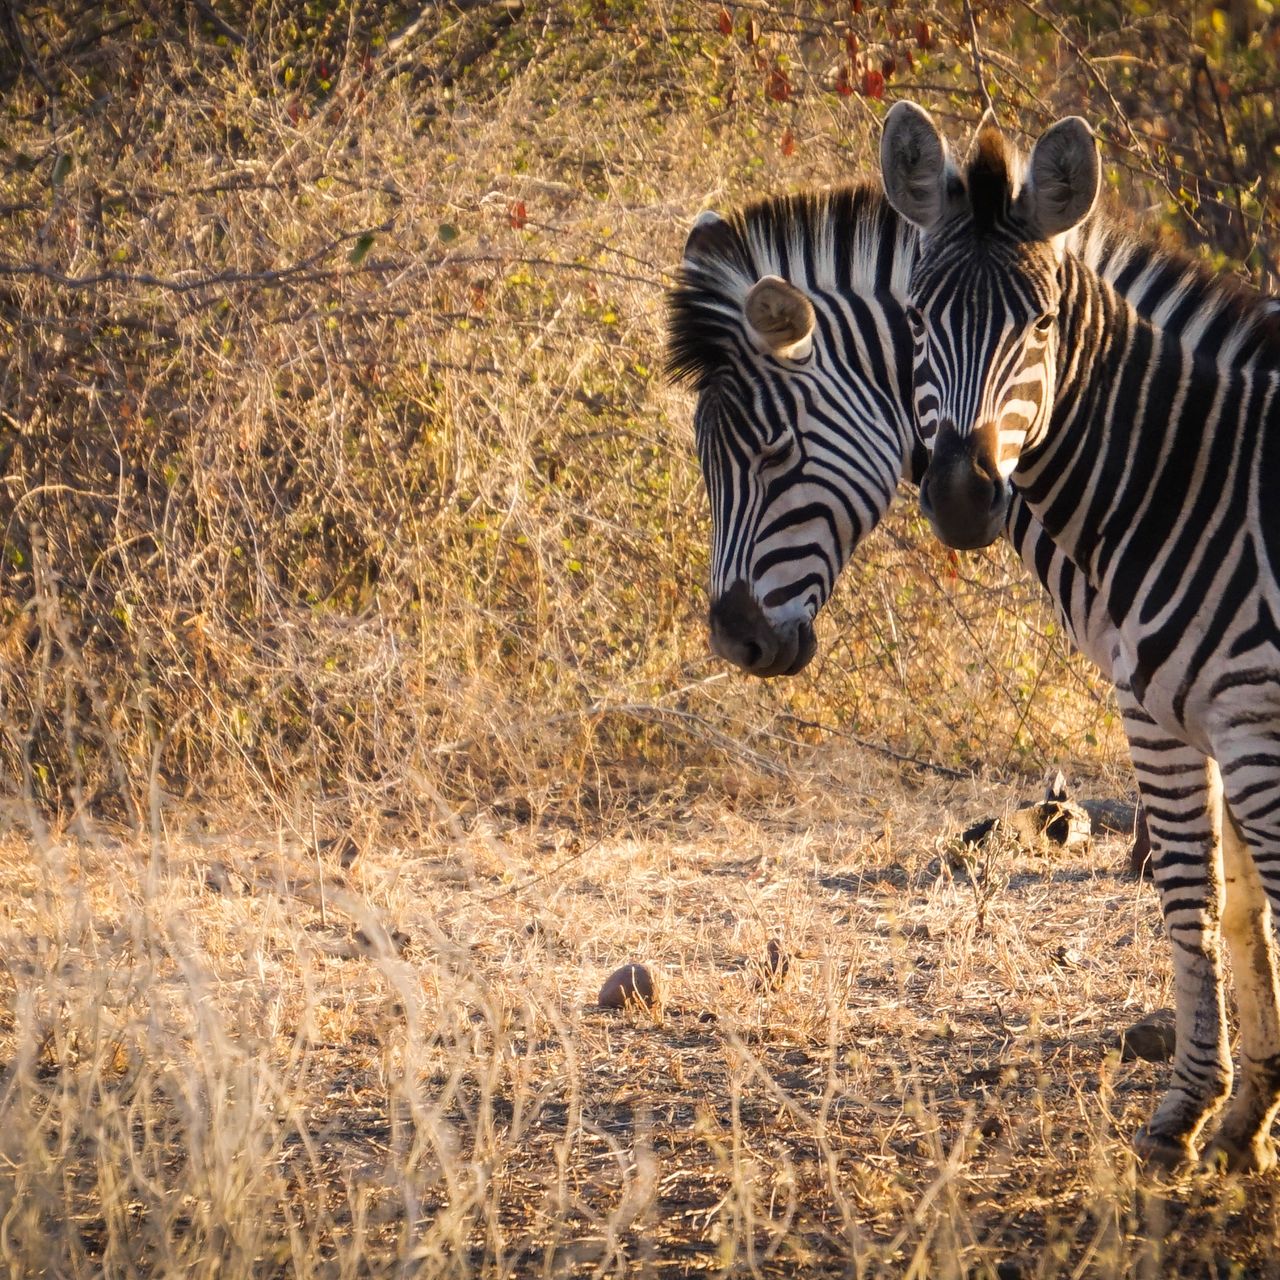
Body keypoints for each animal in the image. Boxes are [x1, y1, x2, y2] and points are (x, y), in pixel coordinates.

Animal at [880, 101, 1280, 1172]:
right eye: (918, 319)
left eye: (1043, 324)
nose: (961, 495)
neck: (1194, 482)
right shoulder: (1194, 714)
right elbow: (1236, 904)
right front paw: (1241, 1122)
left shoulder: (1226, 718)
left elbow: (1194, 894)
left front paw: (1185, 1116)